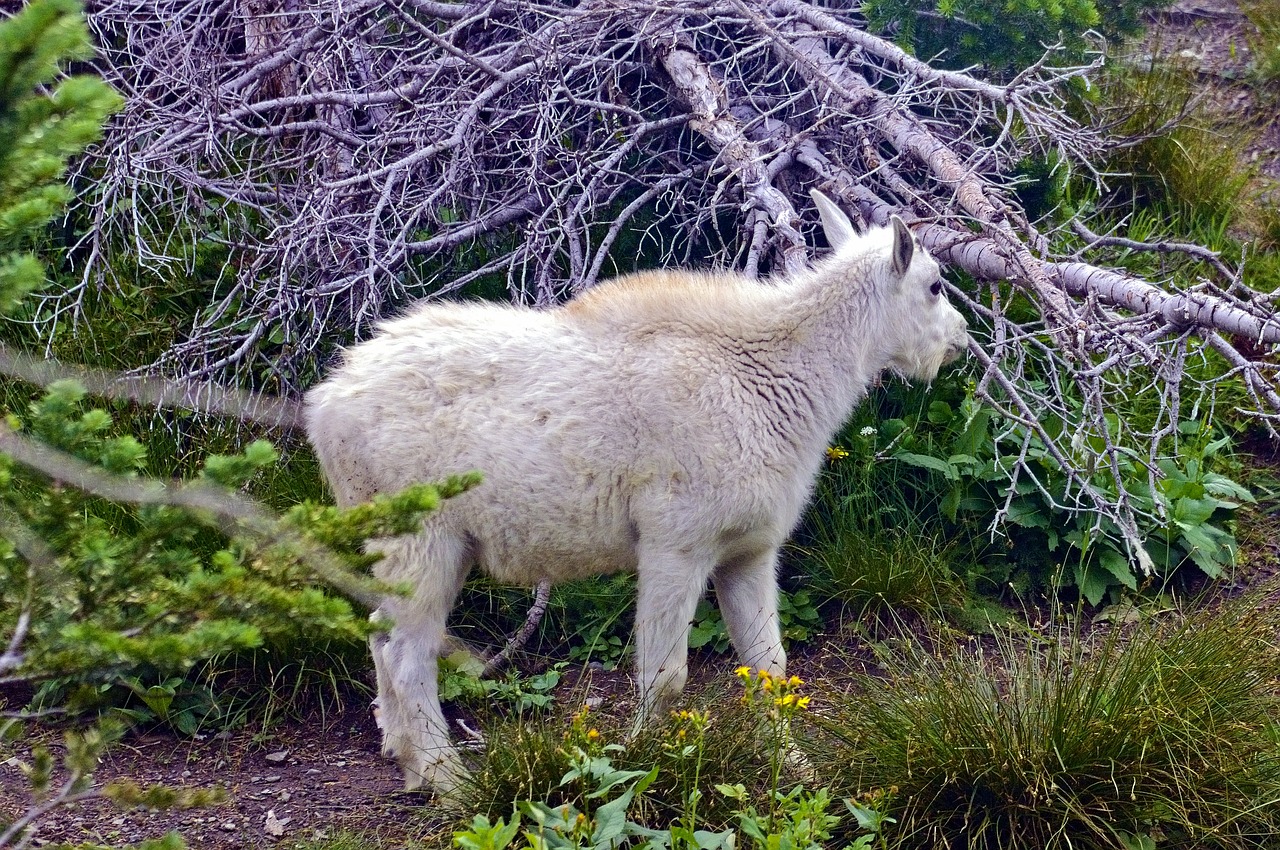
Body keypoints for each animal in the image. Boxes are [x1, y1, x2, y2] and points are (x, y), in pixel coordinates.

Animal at [304, 190, 967, 798]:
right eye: (935, 285)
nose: (961, 337)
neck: (778, 378)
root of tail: (323, 410)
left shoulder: (748, 550)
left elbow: (768, 664)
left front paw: (795, 773)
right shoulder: (676, 542)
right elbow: (665, 674)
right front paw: (644, 768)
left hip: (400, 542)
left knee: (378, 634)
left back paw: (406, 759)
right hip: (422, 539)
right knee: (407, 655)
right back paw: (450, 780)